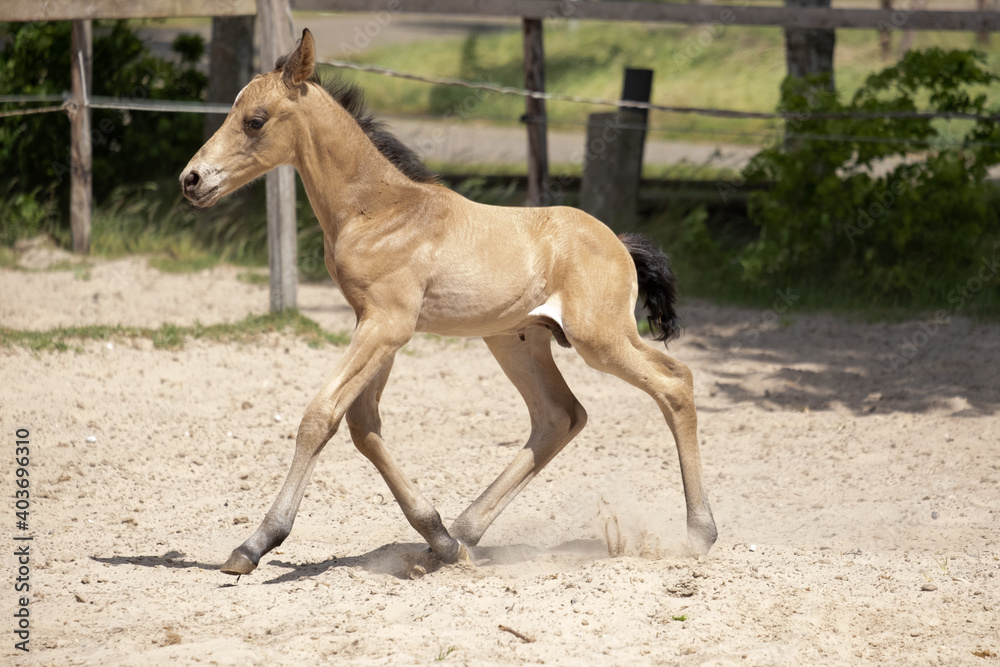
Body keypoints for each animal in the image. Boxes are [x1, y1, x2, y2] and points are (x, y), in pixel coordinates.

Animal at [180, 29, 717, 575]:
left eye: (255, 120)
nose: (192, 180)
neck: (378, 210)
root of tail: (619, 243)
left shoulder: (387, 325)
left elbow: (320, 416)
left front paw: (255, 543)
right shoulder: (373, 323)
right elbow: (363, 426)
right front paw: (437, 535)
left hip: (600, 338)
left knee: (675, 383)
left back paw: (700, 532)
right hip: (516, 340)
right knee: (559, 416)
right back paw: (464, 533)